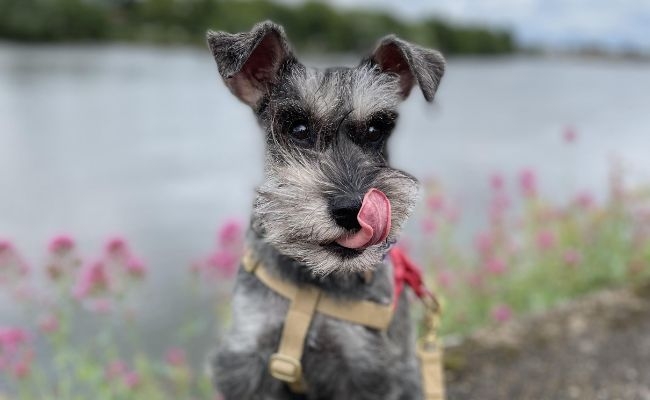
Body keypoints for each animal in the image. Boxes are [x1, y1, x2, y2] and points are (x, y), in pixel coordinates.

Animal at [205, 21, 442, 400]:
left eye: (376, 129)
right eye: (298, 128)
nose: (352, 209)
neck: (313, 281)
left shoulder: (367, 368)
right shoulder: (247, 357)